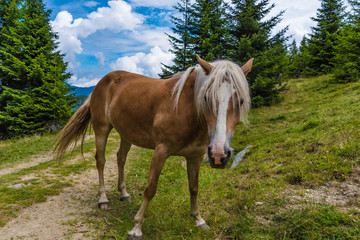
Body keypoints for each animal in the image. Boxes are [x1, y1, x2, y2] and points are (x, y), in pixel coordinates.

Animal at [53, 55, 252, 239]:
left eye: (241, 101)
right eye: (206, 98)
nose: (219, 155)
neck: (187, 110)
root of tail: (101, 82)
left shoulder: (196, 156)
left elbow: (194, 187)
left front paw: (198, 219)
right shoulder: (160, 152)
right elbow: (150, 189)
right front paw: (136, 228)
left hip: (126, 134)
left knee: (121, 159)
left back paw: (124, 193)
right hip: (101, 129)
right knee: (101, 161)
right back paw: (103, 199)